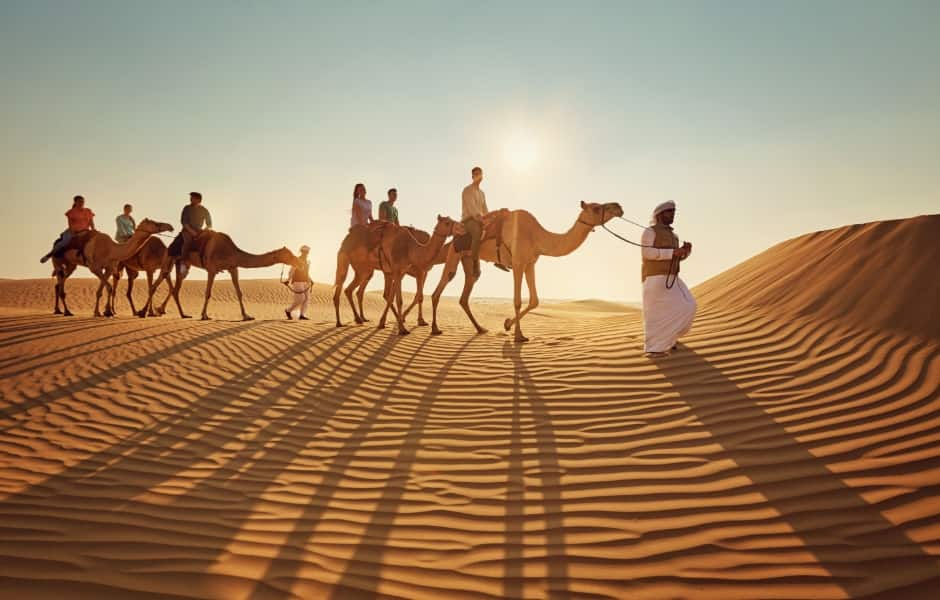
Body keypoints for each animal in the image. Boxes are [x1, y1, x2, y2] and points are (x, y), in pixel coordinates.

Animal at [137, 231, 294, 324]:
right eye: (288, 254)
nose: (297, 261)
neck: (230, 251)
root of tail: (170, 244)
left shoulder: (233, 268)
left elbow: (239, 293)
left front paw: (246, 316)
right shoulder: (212, 269)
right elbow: (208, 293)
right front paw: (204, 315)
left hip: (182, 264)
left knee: (175, 288)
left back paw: (178, 313)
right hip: (169, 259)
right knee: (157, 283)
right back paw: (143, 312)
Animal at [428, 202, 620, 342]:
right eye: (596, 208)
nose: (618, 206)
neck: (537, 236)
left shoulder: (530, 264)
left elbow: (534, 300)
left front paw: (507, 324)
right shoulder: (518, 263)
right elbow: (518, 300)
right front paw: (518, 335)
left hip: (468, 259)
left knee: (467, 290)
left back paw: (480, 328)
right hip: (454, 253)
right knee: (442, 285)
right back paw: (435, 329)